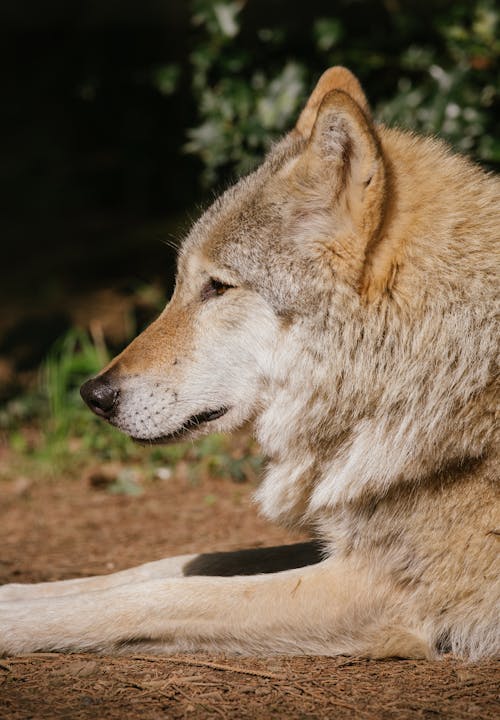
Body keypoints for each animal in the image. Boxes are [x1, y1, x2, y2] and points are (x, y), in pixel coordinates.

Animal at [1, 67, 498, 660]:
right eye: (180, 284)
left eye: (217, 287)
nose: (93, 394)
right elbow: (174, 563)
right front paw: (15, 593)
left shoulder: (380, 587)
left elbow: (167, 594)